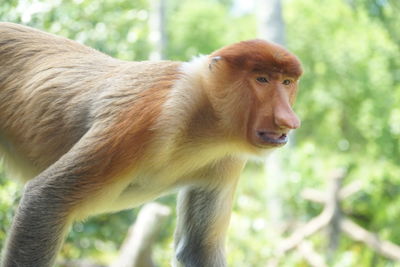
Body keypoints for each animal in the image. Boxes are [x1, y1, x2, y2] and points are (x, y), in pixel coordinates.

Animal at [0, 23, 302, 267]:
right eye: (262, 79)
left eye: (287, 82)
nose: (289, 120)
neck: (205, 112)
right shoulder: (143, 121)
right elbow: (47, 198)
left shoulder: (227, 157)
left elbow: (197, 249)